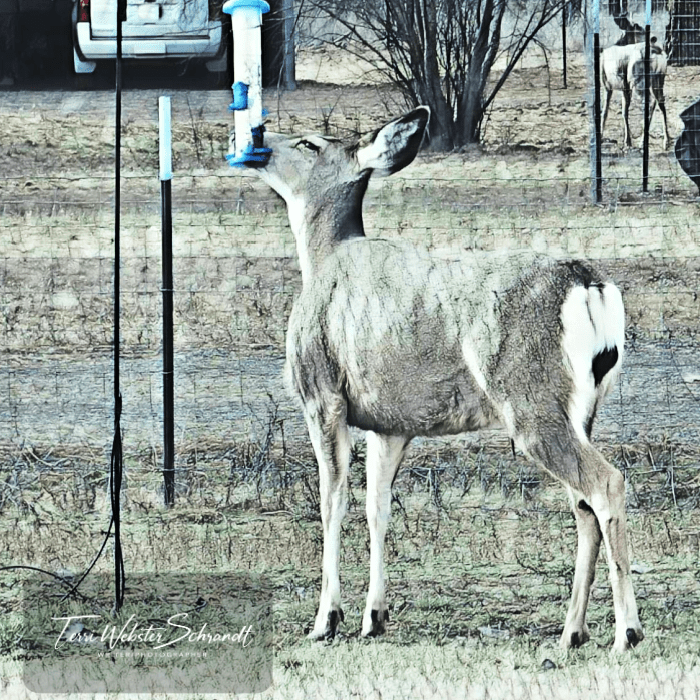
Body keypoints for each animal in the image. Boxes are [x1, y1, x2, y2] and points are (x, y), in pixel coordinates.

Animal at [240, 107, 644, 652]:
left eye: (308, 143)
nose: (256, 135)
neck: (324, 259)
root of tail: (590, 284)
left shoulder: (322, 394)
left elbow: (332, 501)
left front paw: (327, 619)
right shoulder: (390, 422)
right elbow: (378, 506)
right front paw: (374, 616)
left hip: (531, 402)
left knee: (606, 483)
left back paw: (627, 632)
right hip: (579, 410)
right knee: (583, 505)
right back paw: (571, 631)